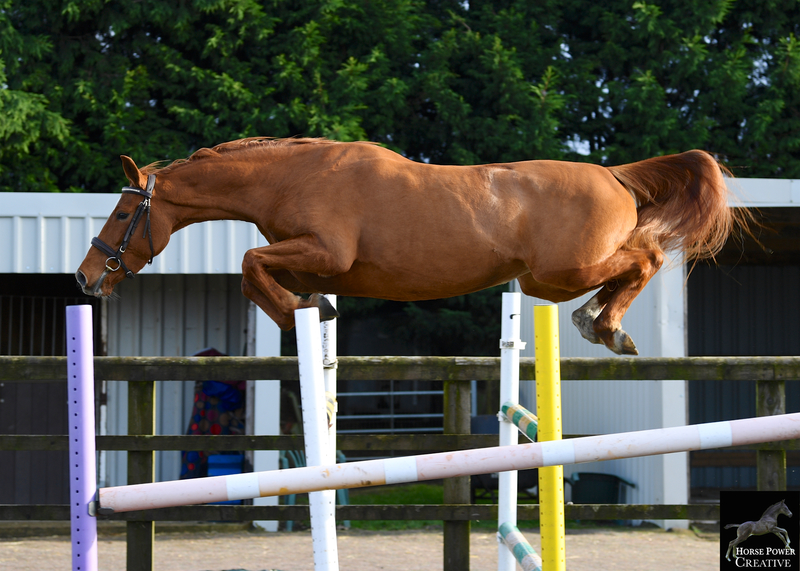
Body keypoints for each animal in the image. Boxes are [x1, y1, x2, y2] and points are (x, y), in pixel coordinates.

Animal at [75, 139, 736, 354]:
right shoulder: (310, 262)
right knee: (631, 267)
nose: (85, 277)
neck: (291, 176)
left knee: (645, 259)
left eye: (124, 212)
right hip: (552, 278)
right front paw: (313, 313)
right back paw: (595, 323)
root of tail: (616, 176)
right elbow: (262, 274)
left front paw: (296, 316)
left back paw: (607, 329)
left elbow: (248, 266)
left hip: (558, 272)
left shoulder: (325, 253)